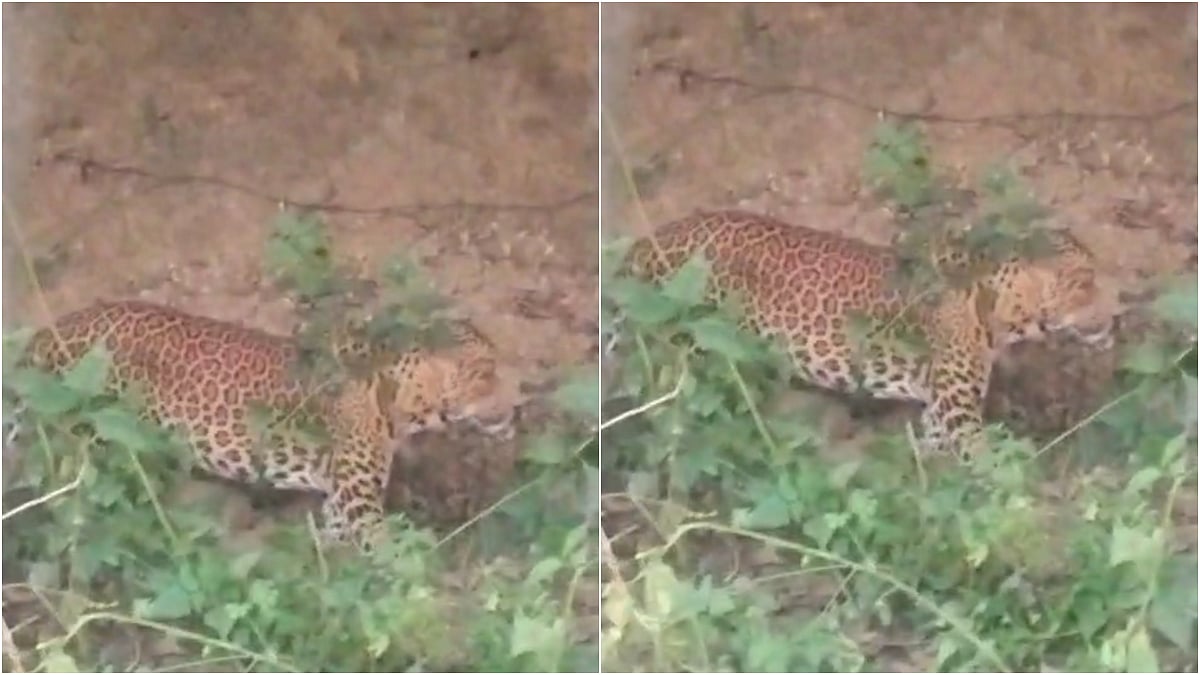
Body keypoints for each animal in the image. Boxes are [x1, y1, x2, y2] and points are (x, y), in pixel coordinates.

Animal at [8, 299, 516, 551]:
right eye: (485, 371)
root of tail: (47, 332)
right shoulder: (358, 503)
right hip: (92, 433)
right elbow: (395, 558)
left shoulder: (340, 504)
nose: (519, 401)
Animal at [619, 209, 1122, 459]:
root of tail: (649, 239)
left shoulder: (939, 410)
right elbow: (987, 464)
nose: (1119, 313)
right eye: (1084, 282)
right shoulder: (956, 408)